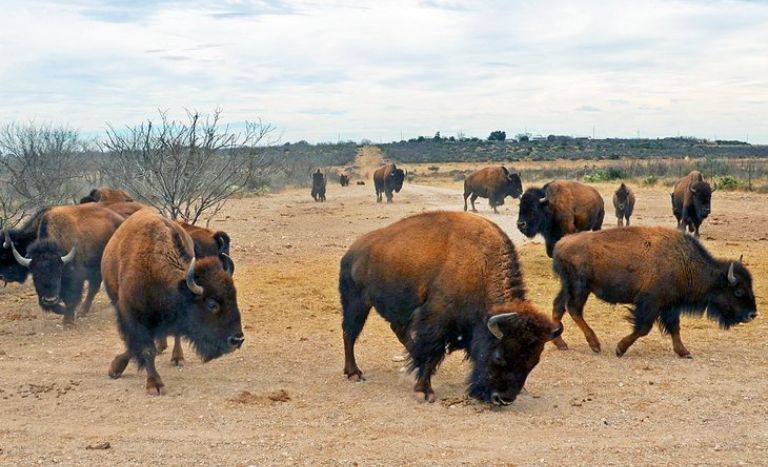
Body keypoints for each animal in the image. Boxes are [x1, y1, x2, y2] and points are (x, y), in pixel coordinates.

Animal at [100, 208, 242, 394]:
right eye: (212, 304)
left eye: (234, 296)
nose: (237, 339)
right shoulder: (132, 315)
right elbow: (144, 348)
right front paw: (152, 384)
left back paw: (177, 357)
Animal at [340, 212, 560, 406]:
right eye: (499, 356)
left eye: (534, 361)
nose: (503, 399)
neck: (481, 268)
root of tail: (353, 251)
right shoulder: (435, 321)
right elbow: (431, 353)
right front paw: (424, 392)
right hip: (356, 303)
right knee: (350, 333)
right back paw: (354, 373)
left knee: (399, 332)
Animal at [552, 227, 756, 358]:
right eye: (738, 291)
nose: (752, 314)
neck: (684, 262)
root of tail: (560, 244)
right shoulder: (650, 302)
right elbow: (643, 328)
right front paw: (620, 348)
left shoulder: (670, 305)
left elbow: (674, 327)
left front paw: (684, 352)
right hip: (580, 287)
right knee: (573, 309)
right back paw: (595, 345)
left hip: (569, 287)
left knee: (558, 307)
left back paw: (560, 343)